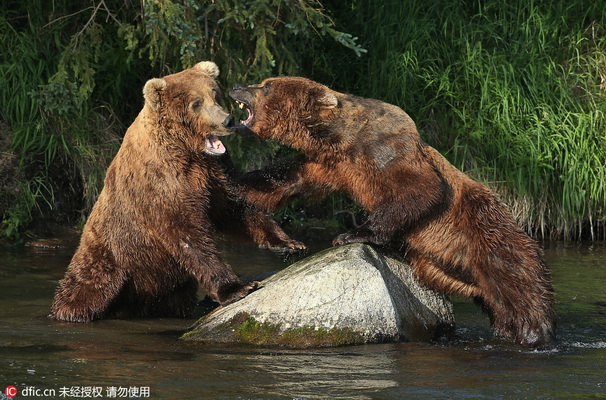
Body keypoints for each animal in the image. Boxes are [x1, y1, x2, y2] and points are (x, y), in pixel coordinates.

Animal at [48, 62, 304, 324]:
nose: (228, 120)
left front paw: (288, 243)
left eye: (214, 93)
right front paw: (237, 287)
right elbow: (187, 233)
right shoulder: (163, 181)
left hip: (168, 287)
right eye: (196, 102)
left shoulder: (213, 173)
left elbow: (233, 208)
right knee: (83, 293)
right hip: (109, 260)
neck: (187, 149)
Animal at [230, 76, 560, 348]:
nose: (237, 85)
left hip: (492, 239)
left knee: (520, 290)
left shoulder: (385, 150)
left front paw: (351, 234)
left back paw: (532, 333)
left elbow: (420, 190)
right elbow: (283, 180)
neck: (337, 138)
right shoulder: (327, 165)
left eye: (266, 85)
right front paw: (234, 179)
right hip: (447, 270)